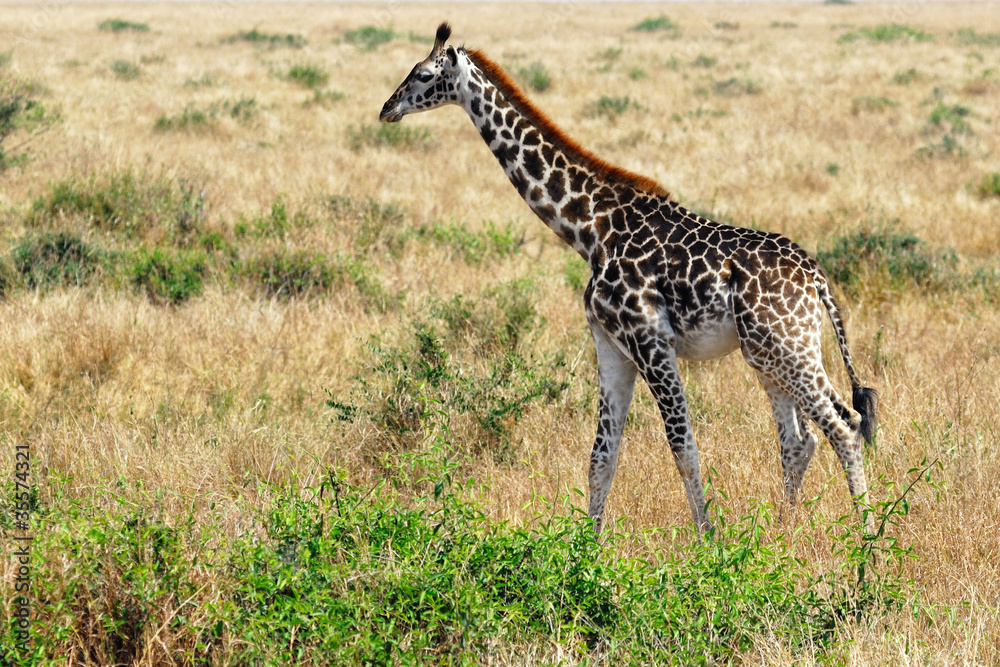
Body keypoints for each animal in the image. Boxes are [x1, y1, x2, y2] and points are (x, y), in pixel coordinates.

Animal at [379, 24, 879, 535]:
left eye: (423, 74)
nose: (387, 108)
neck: (591, 231)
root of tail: (815, 275)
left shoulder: (650, 340)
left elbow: (683, 448)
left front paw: (709, 541)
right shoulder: (611, 345)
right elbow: (602, 456)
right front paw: (587, 545)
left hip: (787, 347)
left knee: (844, 426)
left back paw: (868, 538)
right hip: (770, 354)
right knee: (802, 440)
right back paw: (785, 530)